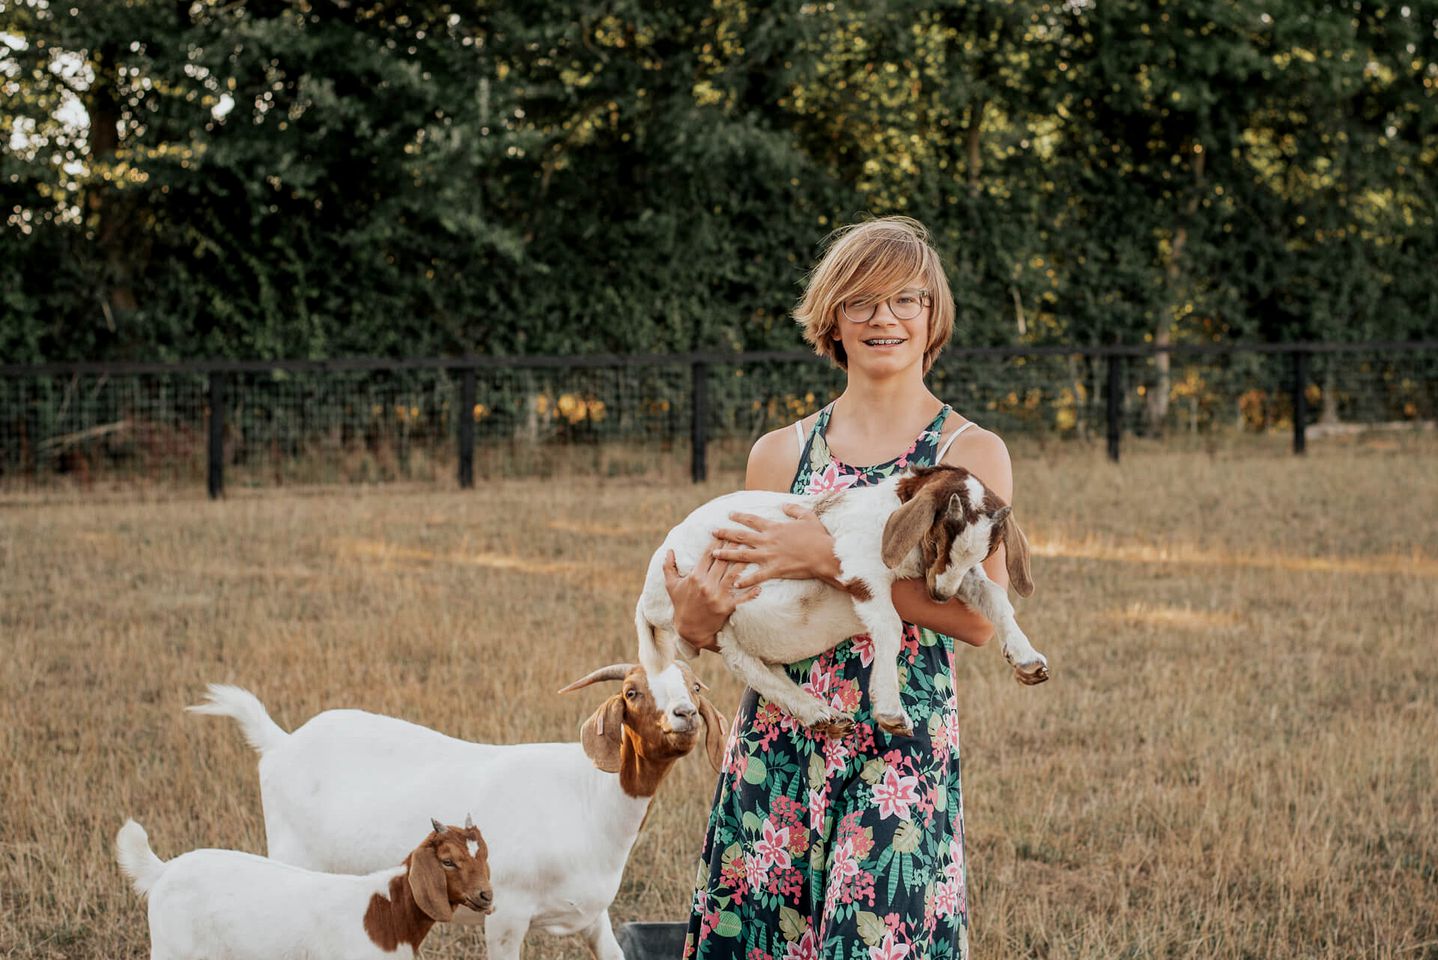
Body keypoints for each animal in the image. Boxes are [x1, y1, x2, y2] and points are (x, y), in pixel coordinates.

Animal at [113, 816, 494, 960]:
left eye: (484, 855)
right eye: (448, 861)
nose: (486, 895)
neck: (387, 912)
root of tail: (163, 871)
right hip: (172, 949)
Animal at [188, 666, 730, 960]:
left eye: (694, 688)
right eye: (632, 693)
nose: (683, 715)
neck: (587, 800)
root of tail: (279, 742)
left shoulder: (593, 917)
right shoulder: (506, 914)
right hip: (290, 858)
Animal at [638, 465, 1046, 735]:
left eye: (985, 554)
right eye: (934, 539)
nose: (939, 596)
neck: (892, 505)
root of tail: (648, 597)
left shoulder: (944, 574)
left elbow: (993, 594)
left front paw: (1027, 659)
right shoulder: (861, 566)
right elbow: (889, 624)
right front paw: (890, 710)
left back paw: (822, 714)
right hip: (710, 602)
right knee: (740, 659)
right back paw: (814, 710)